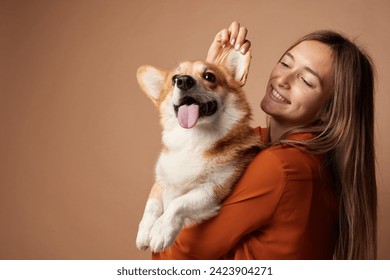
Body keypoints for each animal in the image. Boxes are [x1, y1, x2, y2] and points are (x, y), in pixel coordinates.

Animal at [136, 47, 260, 253]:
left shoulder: (212, 189)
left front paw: (161, 231)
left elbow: (178, 203)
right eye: (174, 79)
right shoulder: (160, 182)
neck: (192, 140)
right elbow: (151, 205)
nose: (183, 81)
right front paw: (145, 232)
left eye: (209, 76)